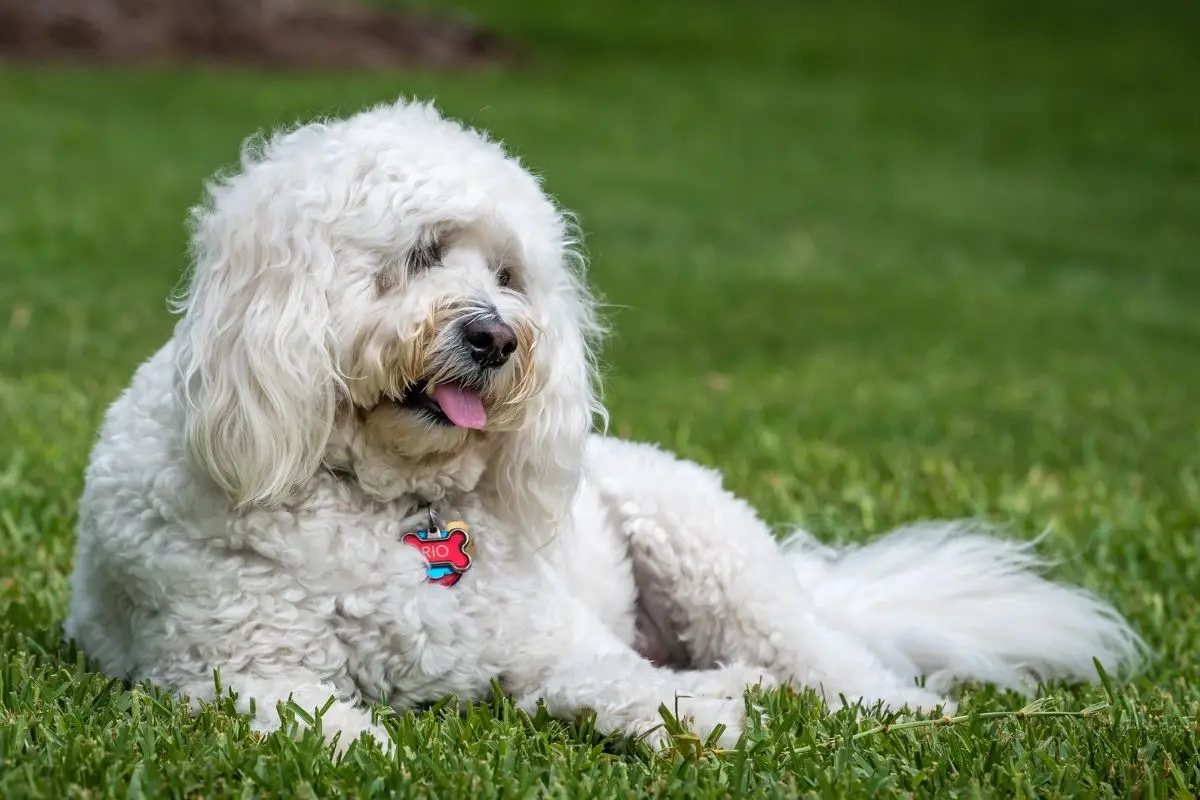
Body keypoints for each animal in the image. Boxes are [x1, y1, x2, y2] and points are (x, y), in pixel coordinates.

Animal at [63, 97, 1142, 753]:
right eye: (419, 253)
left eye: (509, 273)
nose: (497, 336)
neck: (390, 501)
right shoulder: (235, 670)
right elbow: (326, 725)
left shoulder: (550, 646)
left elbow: (627, 681)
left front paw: (707, 716)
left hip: (714, 555)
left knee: (824, 656)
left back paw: (888, 704)